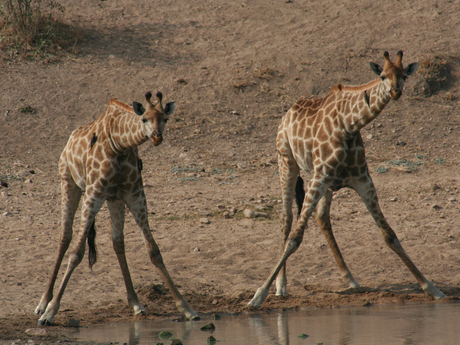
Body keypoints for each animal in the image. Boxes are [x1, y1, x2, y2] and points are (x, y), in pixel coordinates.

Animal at [33, 90, 197, 324]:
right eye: (144, 118)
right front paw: (50, 312)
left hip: (114, 200)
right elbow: (77, 253)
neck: (119, 144)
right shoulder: (93, 194)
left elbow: (154, 251)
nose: (157, 137)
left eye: (165, 118)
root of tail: (69, 140)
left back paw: (136, 303)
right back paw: (42, 303)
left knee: (117, 242)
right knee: (65, 236)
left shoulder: (135, 195)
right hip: (68, 182)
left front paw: (187, 308)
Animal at [248, 51, 446, 306]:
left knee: (321, 217)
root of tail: (287, 113)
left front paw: (432, 288)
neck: (349, 126)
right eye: (382, 76)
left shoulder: (362, 180)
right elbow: (295, 238)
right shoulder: (321, 177)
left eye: (404, 76)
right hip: (287, 161)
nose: (395, 92)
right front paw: (258, 295)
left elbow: (389, 235)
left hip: (323, 182)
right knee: (287, 218)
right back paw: (281, 286)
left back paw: (350, 279)